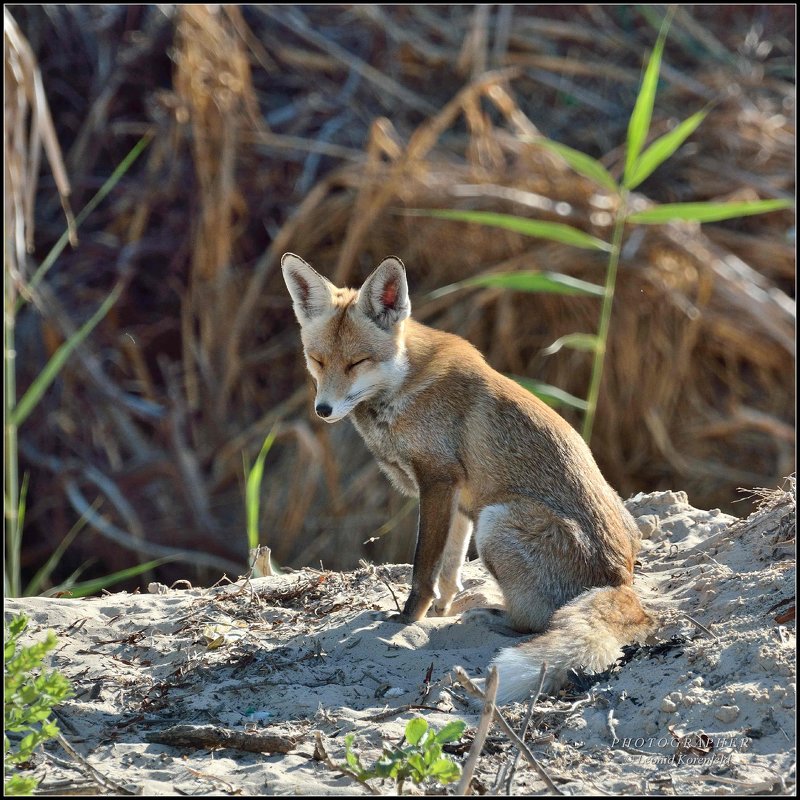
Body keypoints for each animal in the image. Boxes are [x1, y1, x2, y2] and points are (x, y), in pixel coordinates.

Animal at [282, 253, 656, 704]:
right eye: (317, 360)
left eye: (357, 362)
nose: (323, 410)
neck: (404, 386)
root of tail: (621, 580)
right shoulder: (458, 498)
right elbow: (449, 571)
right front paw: (440, 613)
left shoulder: (437, 480)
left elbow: (424, 568)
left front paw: (408, 618)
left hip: (496, 521)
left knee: (534, 623)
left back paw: (491, 617)